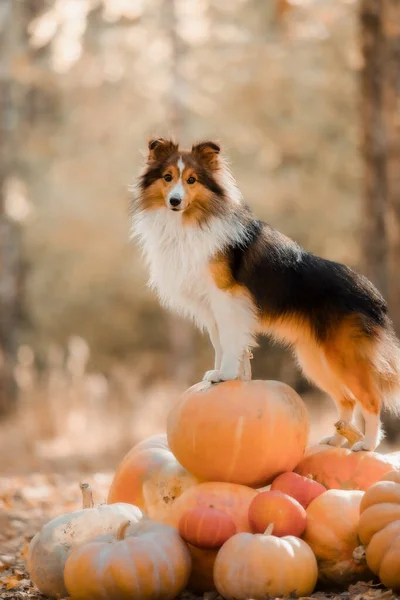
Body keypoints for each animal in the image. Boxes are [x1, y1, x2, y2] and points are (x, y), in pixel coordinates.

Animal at [132, 139, 400, 450]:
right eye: (167, 177)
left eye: (191, 180)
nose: (174, 201)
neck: (193, 221)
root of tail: (374, 297)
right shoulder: (212, 309)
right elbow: (220, 343)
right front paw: (222, 374)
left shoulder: (227, 299)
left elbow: (231, 342)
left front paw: (225, 375)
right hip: (316, 361)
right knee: (347, 399)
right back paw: (335, 439)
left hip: (345, 358)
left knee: (371, 399)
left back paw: (367, 445)